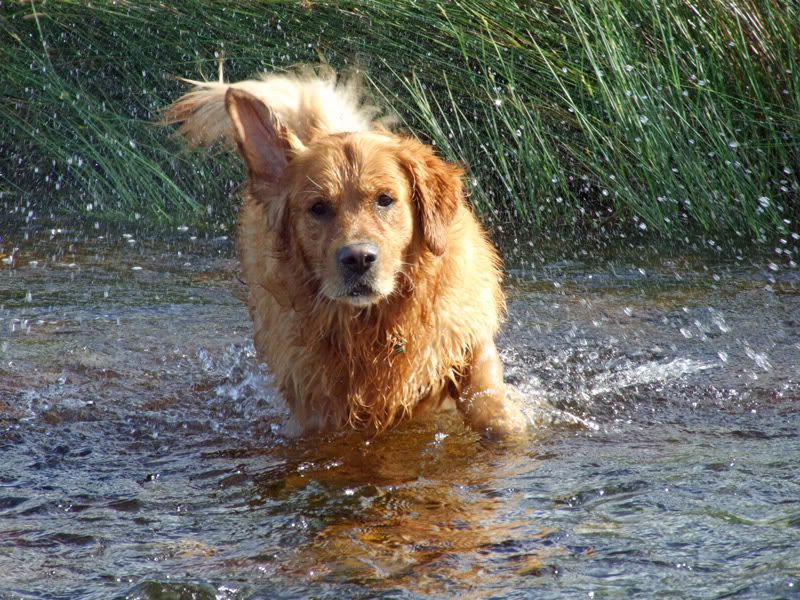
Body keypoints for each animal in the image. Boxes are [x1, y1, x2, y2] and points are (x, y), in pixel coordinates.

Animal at [164, 68, 524, 438]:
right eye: (318, 208)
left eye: (385, 199)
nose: (358, 258)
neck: (374, 327)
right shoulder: (311, 401)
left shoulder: (466, 335)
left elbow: (486, 398)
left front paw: (502, 424)